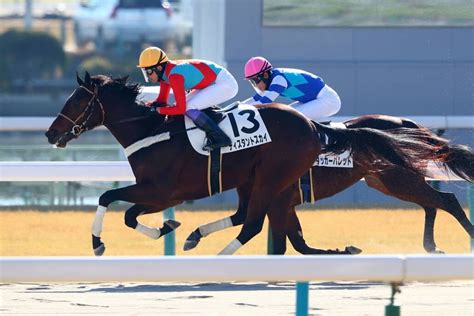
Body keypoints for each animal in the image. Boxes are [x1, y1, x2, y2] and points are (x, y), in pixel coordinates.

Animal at [184, 113, 474, 254]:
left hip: (398, 179)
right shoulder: (283, 203)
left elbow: (285, 242)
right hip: (385, 181)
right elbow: (296, 242)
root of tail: (408, 122)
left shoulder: (278, 199)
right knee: (432, 204)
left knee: (446, 200)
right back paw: (431, 246)